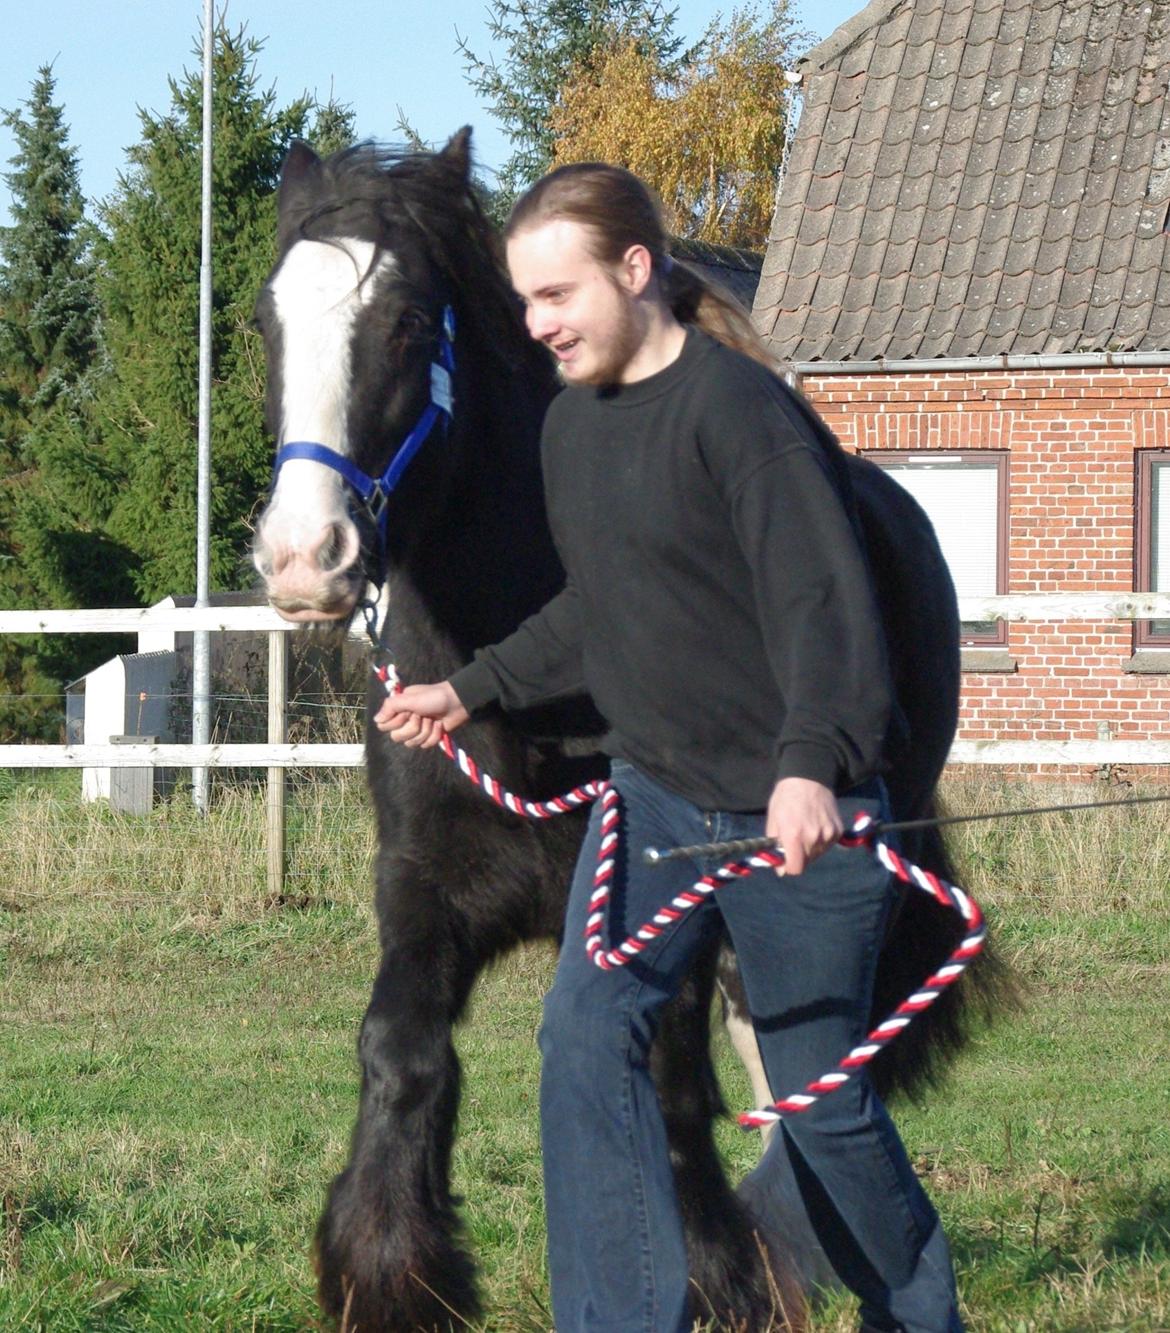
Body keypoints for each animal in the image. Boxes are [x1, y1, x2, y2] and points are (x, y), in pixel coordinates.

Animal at [251, 135, 1002, 1333]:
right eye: (267, 323)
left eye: (408, 322)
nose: (301, 558)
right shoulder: (421, 890)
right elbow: (400, 1051)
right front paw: (393, 1269)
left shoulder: (658, 908)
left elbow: (675, 1086)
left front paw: (719, 1274)